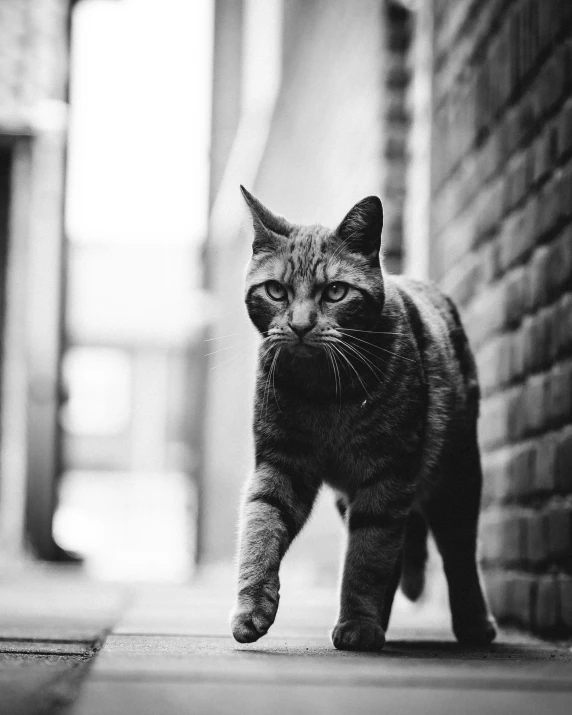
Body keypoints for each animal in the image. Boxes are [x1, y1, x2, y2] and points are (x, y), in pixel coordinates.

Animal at [230, 187, 498, 652]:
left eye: (336, 292)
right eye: (276, 291)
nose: (300, 325)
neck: (323, 394)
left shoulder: (387, 476)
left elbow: (367, 557)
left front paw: (357, 622)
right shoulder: (279, 466)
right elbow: (260, 532)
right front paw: (252, 608)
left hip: (458, 479)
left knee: (458, 554)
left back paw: (472, 624)